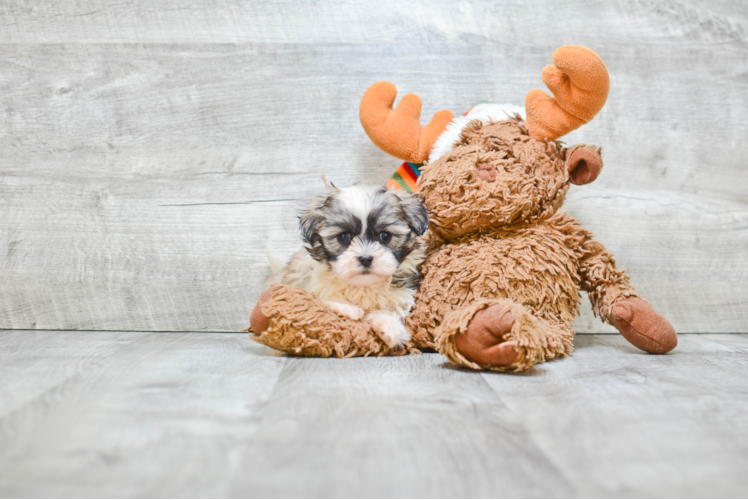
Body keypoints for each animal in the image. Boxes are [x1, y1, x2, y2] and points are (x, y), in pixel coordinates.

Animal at [272, 180, 430, 348]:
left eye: (385, 236)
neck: (363, 285)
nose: (365, 258)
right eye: (344, 237)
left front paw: (389, 326)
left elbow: (391, 309)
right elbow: (320, 300)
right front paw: (347, 308)